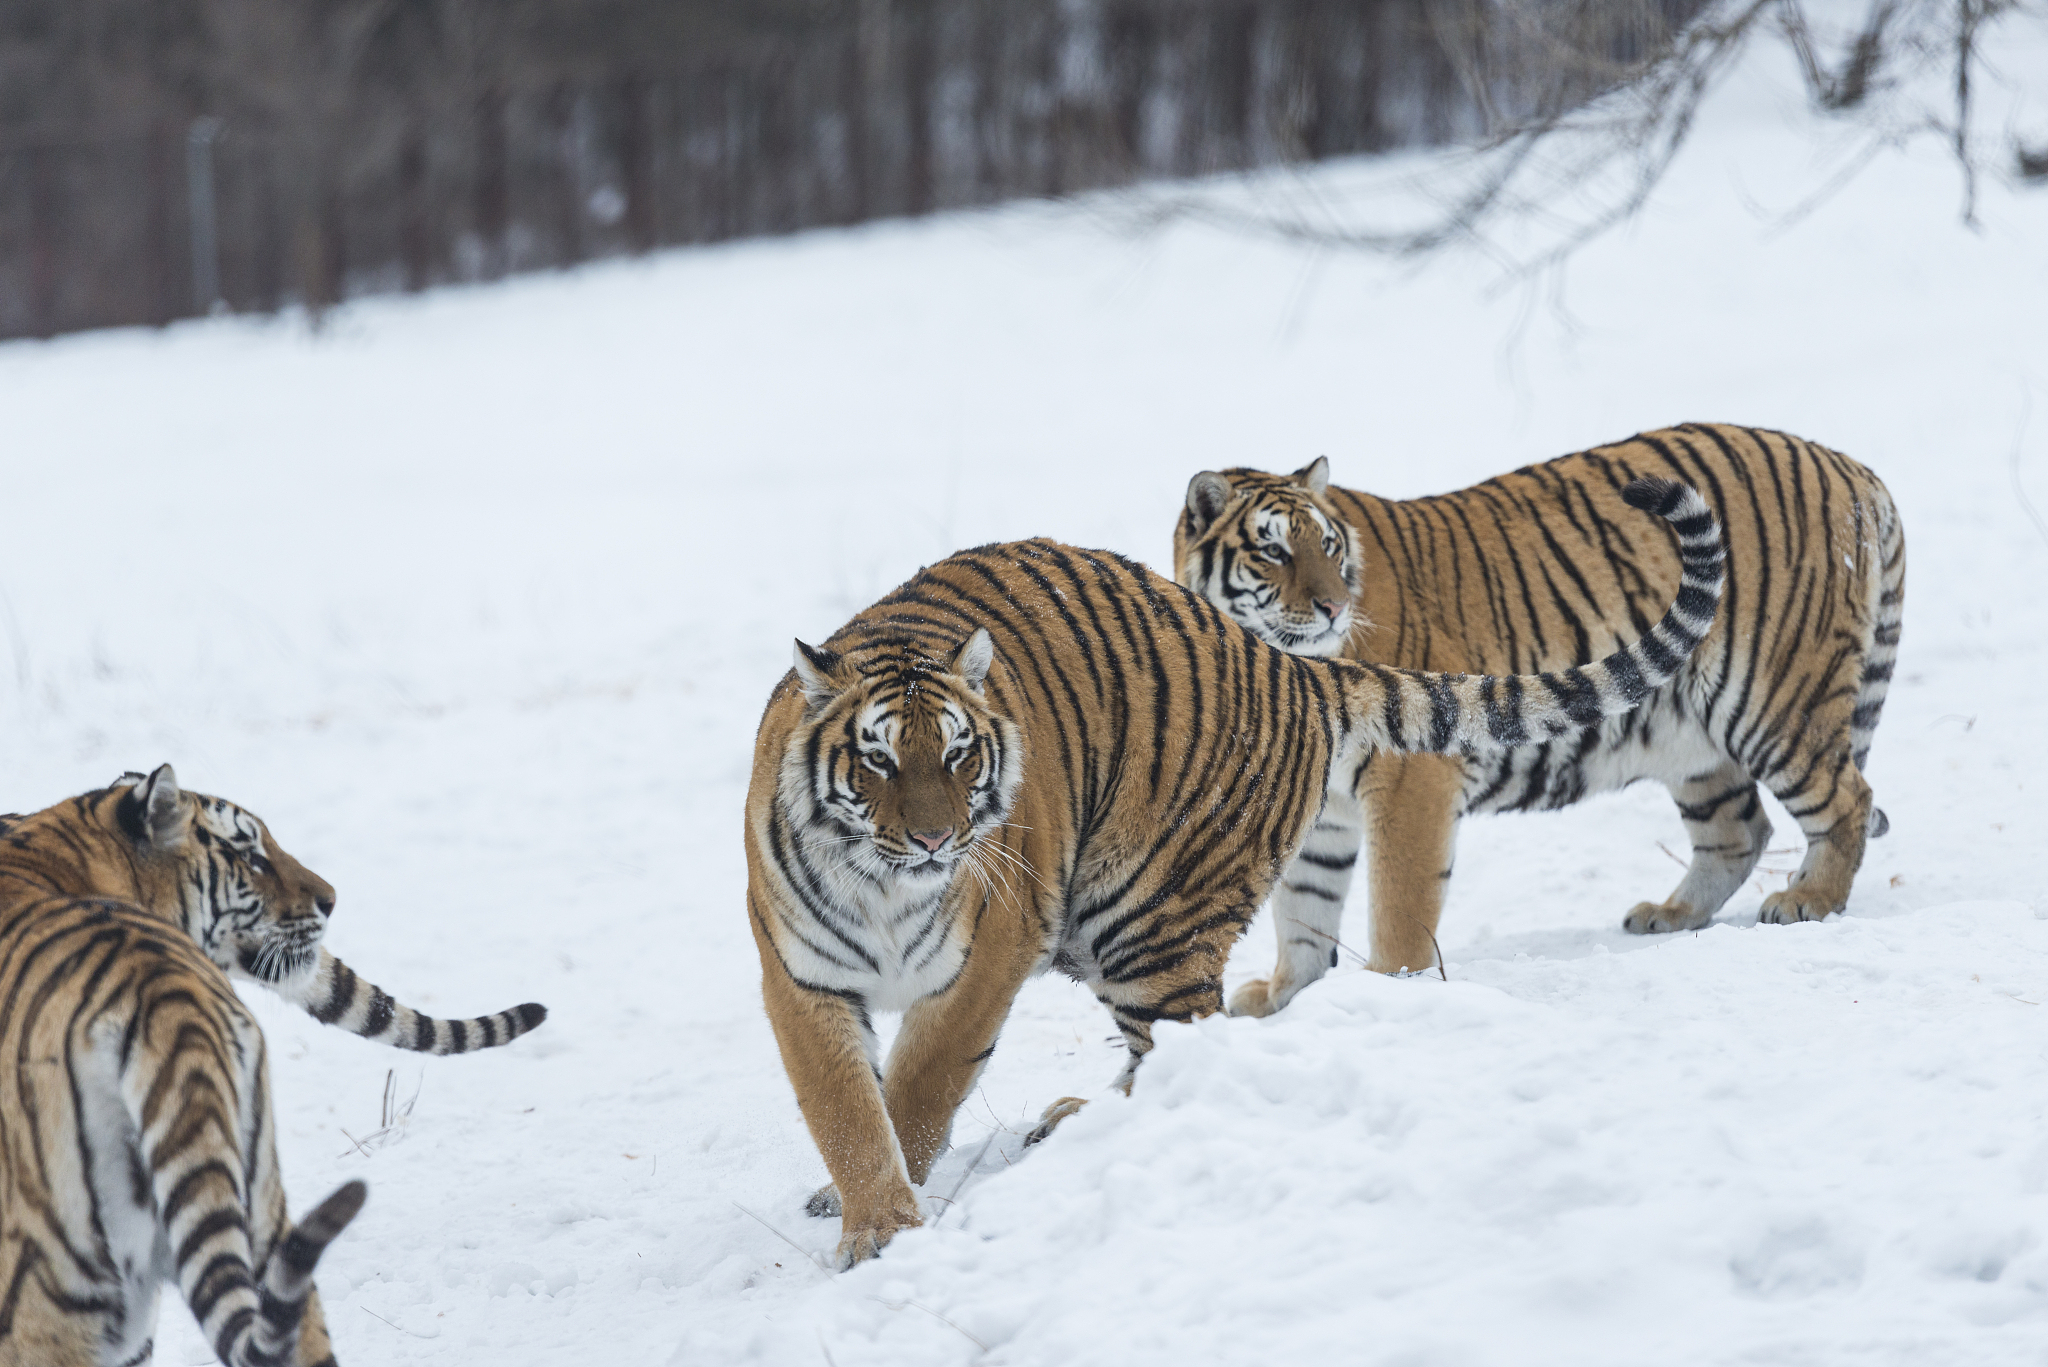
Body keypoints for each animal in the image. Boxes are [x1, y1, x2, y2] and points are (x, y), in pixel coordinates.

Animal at [745, 479, 1720, 1270]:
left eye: (957, 753)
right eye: (877, 760)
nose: (937, 839)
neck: (886, 885)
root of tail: (1279, 660)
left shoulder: (988, 956)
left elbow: (919, 1087)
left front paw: (888, 1233)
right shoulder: (801, 973)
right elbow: (846, 1105)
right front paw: (867, 1209)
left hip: (1144, 921)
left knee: (1178, 1044)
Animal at [1179, 422, 1908, 1012]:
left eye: (1330, 548)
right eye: (1273, 551)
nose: (1334, 608)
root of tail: (1850, 467)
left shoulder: (1413, 781)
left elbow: (1398, 908)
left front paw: (1392, 990)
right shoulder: (1322, 813)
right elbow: (1304, 913)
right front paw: (1286, 998)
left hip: (1772, 700)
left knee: (1846, 799)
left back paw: (1806, 901)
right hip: (1692, 740)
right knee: (1739, 830)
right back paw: (1668, 915)